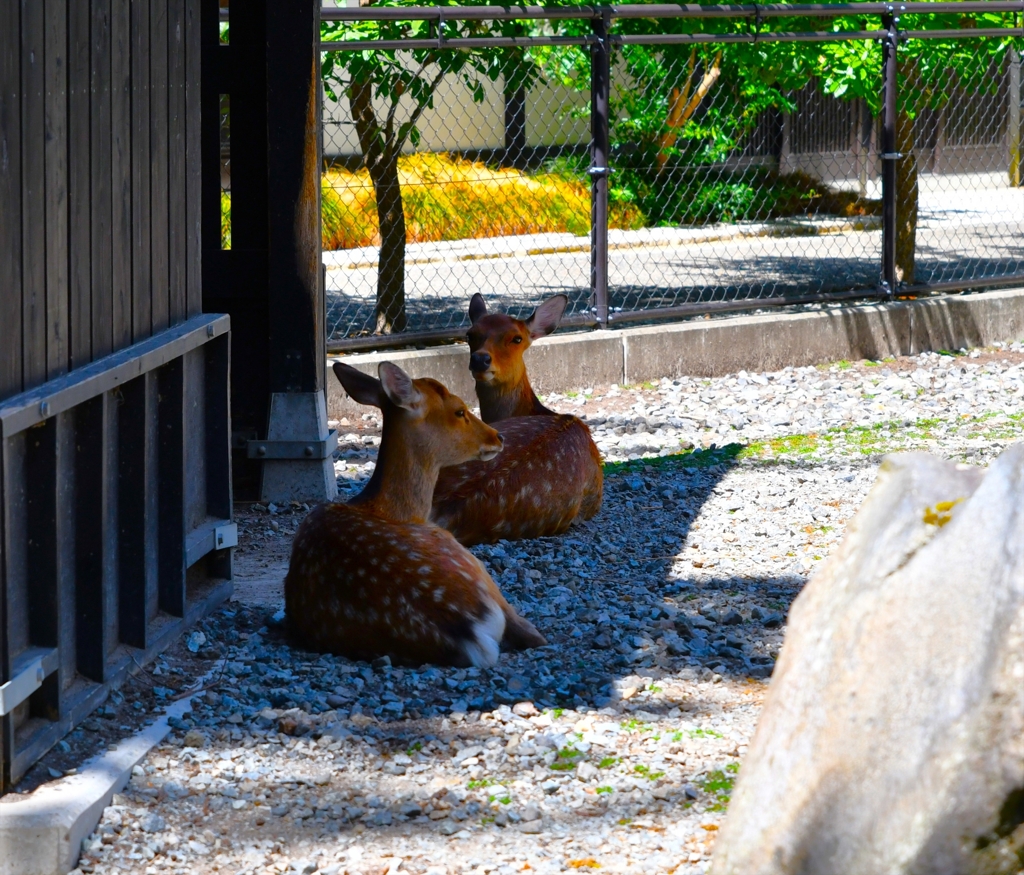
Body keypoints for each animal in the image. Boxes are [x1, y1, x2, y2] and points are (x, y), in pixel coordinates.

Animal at [282, 362, 544, 672]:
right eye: (459, 410)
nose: (498, 437)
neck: (391, 507)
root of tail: (469, 633)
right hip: (464, 555)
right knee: (529, 632)